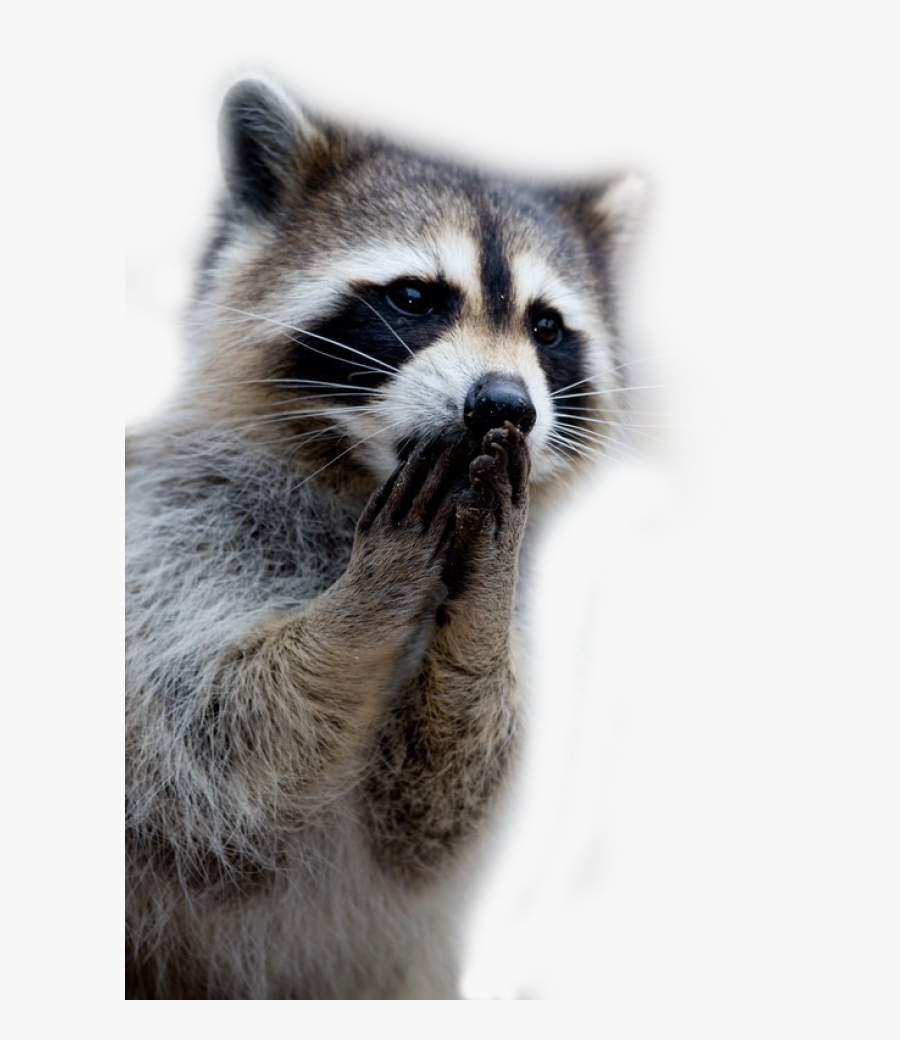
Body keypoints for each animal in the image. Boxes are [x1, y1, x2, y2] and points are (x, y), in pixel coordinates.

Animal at [125, 78, 642, 999]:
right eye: (413, 298)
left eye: (546, 327)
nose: (505, 405)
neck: (361, 485)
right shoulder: (169, 536)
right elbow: (205, 753)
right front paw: (368, 599)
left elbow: (430, 813)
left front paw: (476, 613)